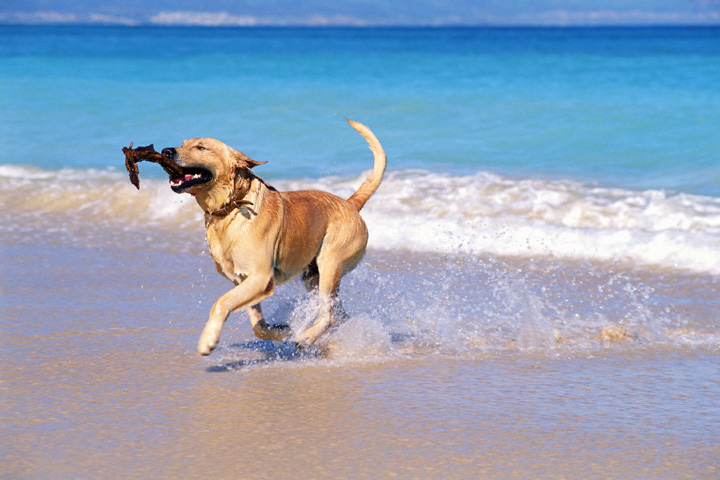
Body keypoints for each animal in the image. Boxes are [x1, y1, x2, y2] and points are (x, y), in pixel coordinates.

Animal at [162, 118, 388, 354]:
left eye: (201, 147)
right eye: (182, 144)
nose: (166, 151)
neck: (231, 206)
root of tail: (351, 203)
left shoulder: (260, 277)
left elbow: (221, 303)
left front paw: (208, 339)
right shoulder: (242, 281)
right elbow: (258, 325)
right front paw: (282, 331)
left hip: (330, 264)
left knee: (328, 315)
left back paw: (306, 338)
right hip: (313, 278)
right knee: (339, 314)